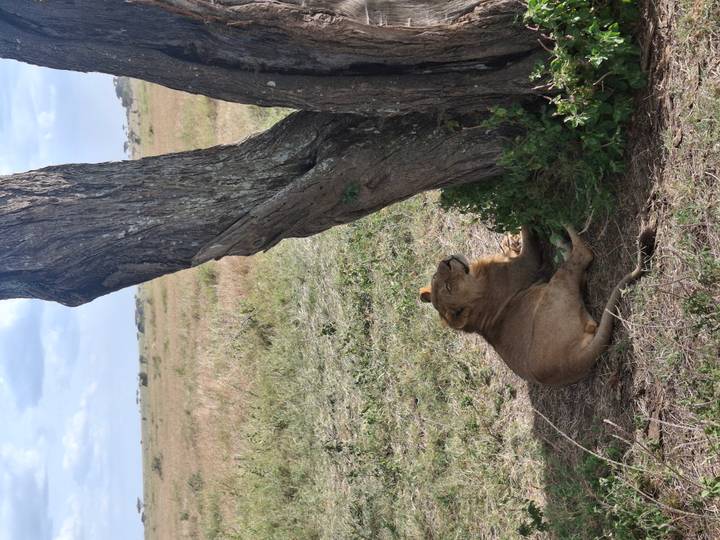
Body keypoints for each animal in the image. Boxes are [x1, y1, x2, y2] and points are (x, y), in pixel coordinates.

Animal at [420, 225, 654, 385]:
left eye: (438, 279)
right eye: (449, 287)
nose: (445, 261)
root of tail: (572, 362)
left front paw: (509, 240)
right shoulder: (527, 263)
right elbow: (528, 236)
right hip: (554, 290)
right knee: (584, 255)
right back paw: (564, 227)